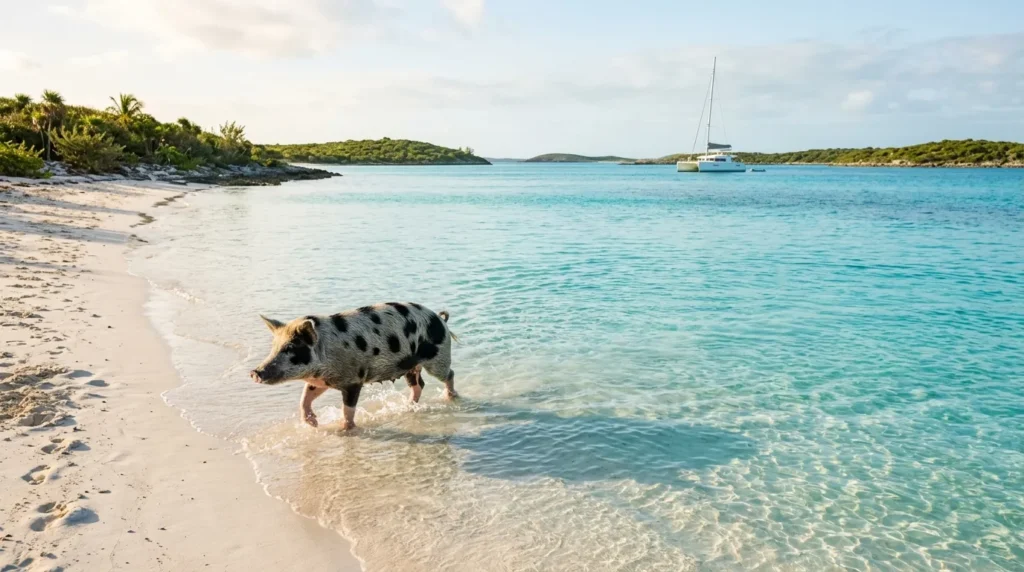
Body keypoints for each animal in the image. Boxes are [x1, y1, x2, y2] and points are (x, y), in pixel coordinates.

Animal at [250, 302, 457, 430]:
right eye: (274, 347)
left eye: (290, 348)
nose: (254, 372)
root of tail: (440, 319)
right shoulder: (321, 381)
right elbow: (304, 397)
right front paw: (313, 424)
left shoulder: (353, 380)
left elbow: (347, 409)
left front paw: (345, 429)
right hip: (410, 366)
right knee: (419, 385)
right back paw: (408, 405)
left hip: (437, 358)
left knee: (449, 374)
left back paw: (451, 397)